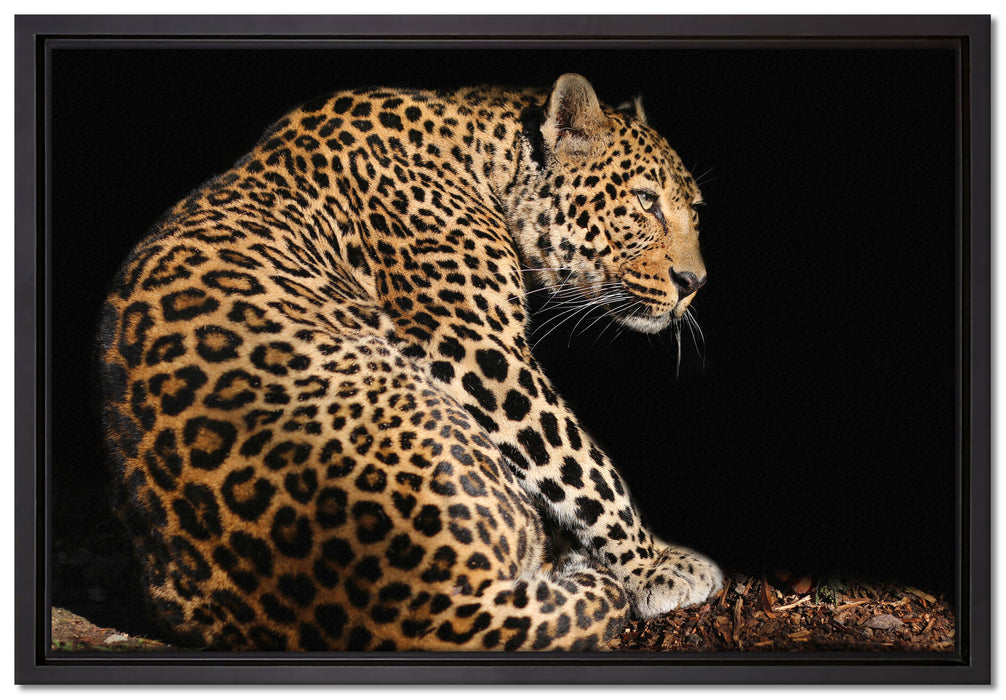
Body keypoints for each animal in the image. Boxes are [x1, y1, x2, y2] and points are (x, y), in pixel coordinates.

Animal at [96, 73, 722, 652]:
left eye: (694, 210)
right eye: (644, 201)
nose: (694, 284)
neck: (485, 155)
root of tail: (412, 605)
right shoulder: (474, 346)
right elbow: (578, 461)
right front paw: (655, 567)